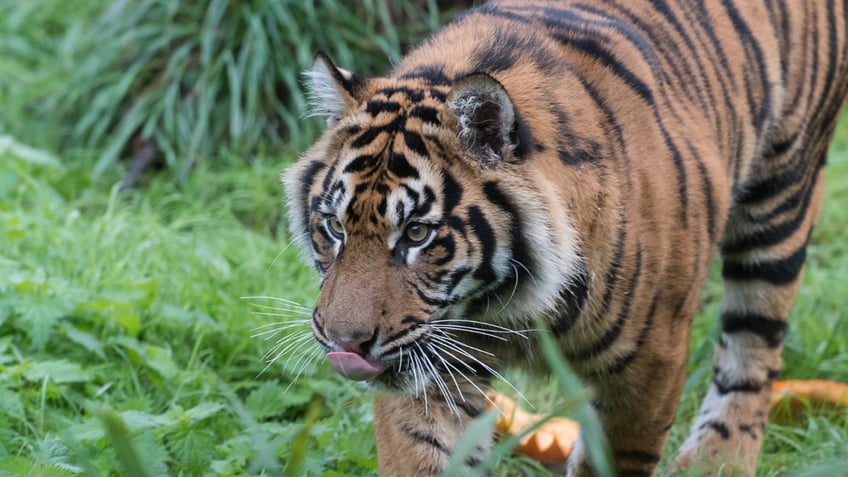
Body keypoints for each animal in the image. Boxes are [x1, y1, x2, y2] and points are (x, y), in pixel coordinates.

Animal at [284, 1, 848, 474]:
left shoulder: (651, 363)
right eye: (334, 227)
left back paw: (716, 462)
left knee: (753, 352)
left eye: (418, 233)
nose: (345, 343)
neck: (501, 306)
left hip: (781, 200)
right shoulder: (433, 366)